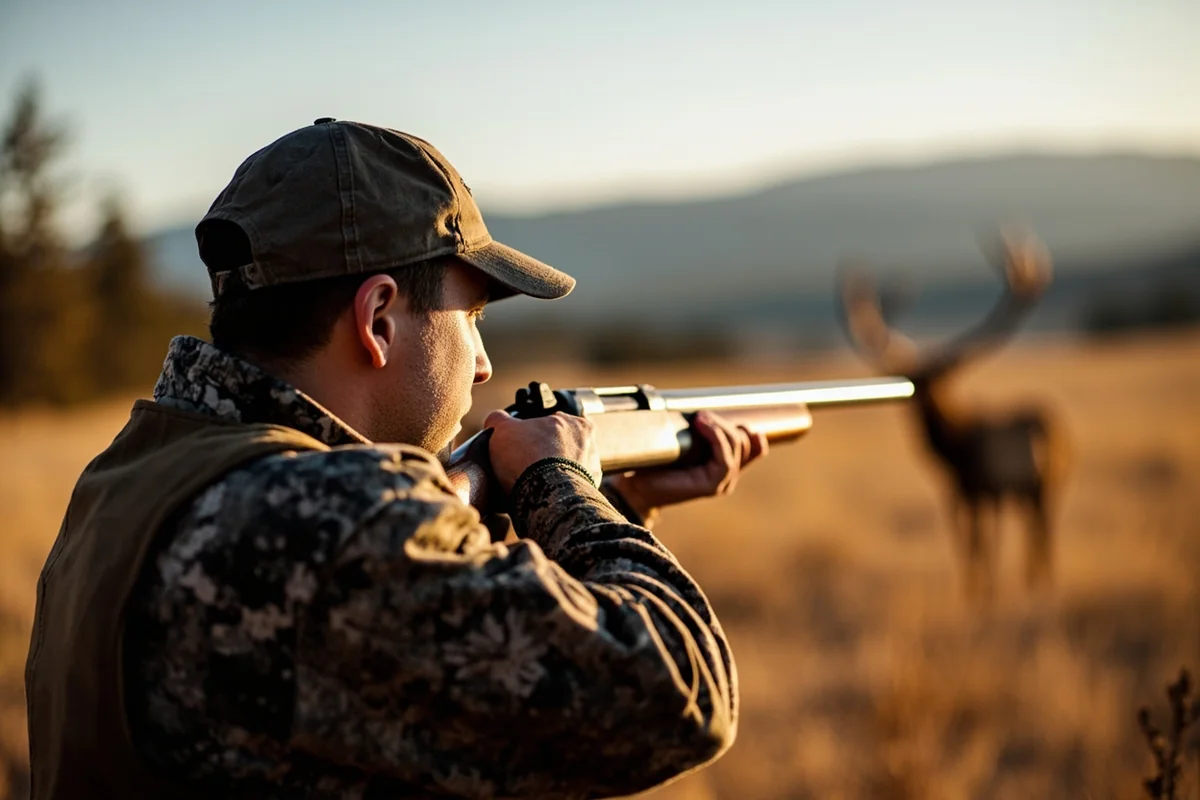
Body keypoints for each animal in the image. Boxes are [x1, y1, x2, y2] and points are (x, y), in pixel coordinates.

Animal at [837, 230, 1069, 602]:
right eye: (913, 382)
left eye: (938, 383)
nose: (921, 418)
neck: (953, 449)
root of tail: (1049, 435)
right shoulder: (974, 492)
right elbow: (978, 546)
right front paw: (984, 592)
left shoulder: (968, 488)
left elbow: (974, 546)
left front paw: (979, 595)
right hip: (1038, 487)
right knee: (1037, 532)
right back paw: (1036, 583)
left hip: (1032, 487)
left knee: (1034, 533)